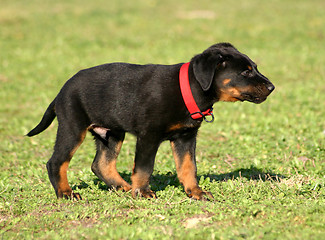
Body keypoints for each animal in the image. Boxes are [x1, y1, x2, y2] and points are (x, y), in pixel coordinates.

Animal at [27, 43, 274, 201]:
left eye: (255, 67)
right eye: (245, 72)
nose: (272, 87)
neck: (189, 89)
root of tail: (60, 92)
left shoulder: (186, 137)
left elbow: (188, 167)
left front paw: (196, 192)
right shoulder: (149, 136)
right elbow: (144, 167)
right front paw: (143, 192)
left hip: (112, 132)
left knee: (101, 164)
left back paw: (124, 187)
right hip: (72, 127)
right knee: (56, 162)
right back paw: (66, 194)